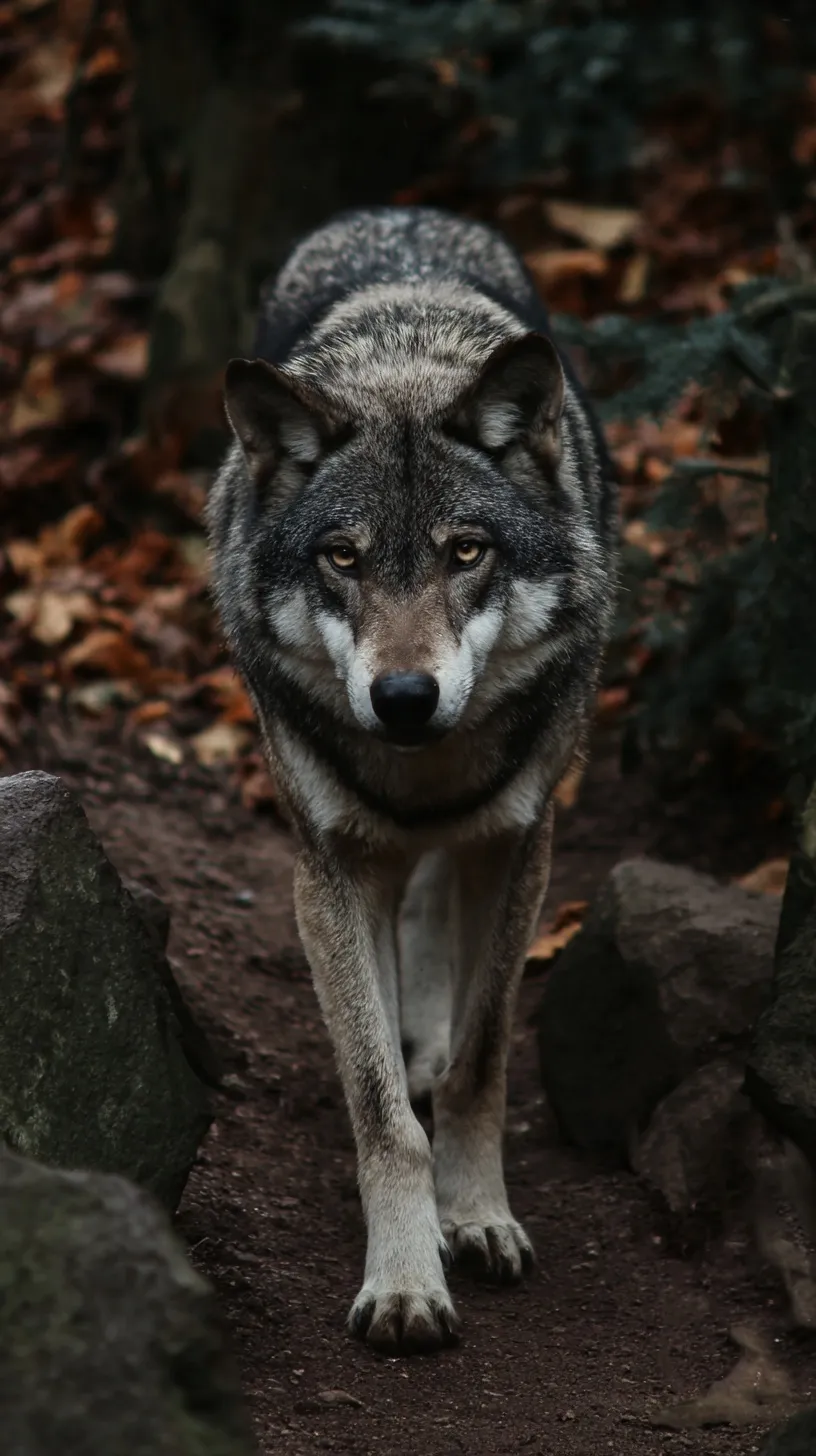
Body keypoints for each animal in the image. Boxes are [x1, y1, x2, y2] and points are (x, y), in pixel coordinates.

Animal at [207, 206, 617, 1355]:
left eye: (466, 551)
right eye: (343, 558)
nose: (402, 697)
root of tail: (400, 213)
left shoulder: (520, 843)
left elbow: (479, 1065)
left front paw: (476, 1217)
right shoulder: (329, 869)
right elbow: (381, 1112)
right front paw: (403, 1278)